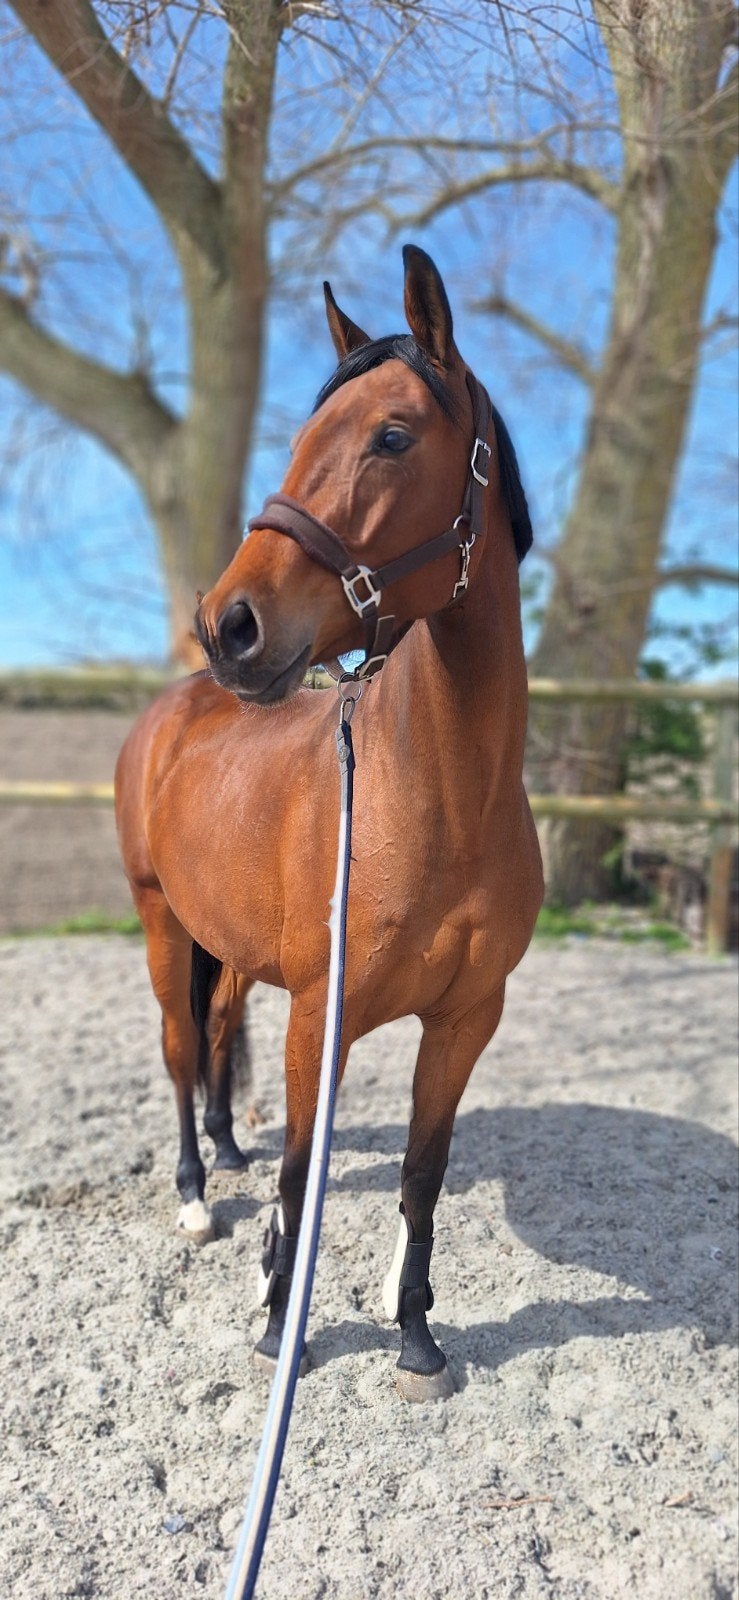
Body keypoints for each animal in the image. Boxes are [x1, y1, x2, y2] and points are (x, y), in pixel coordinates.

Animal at [115, 245, 544, 1401]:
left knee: (218, 1036)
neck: (438, 798)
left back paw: (226, 1151)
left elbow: (421, 1173)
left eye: (391, 436)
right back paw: (194, 1191)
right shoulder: (325, 1013)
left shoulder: (465, 1019)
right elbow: (304, 1176)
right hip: (162, 923)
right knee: (181, 1047)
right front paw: (279, 1326)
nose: (229, 624)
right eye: (304, 438)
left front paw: (416, 1334)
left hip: (228, 943)